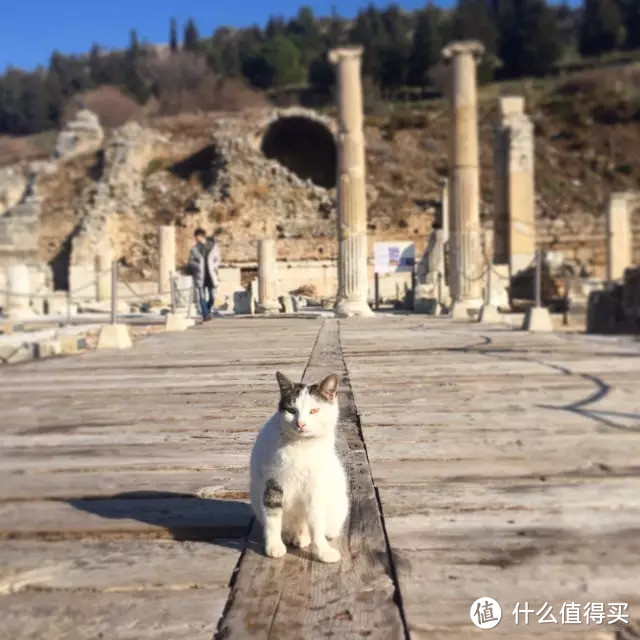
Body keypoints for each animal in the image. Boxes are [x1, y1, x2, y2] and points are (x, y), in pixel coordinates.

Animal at [250, 368, 350, 564]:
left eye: (314, 410)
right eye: (291, 410)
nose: (300, 423)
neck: (301, 446)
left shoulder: (315, 485)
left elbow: (316, 521)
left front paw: (322, 551)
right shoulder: (272, 481)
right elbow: (273, 516)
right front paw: (274, 546)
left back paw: (302, 537)